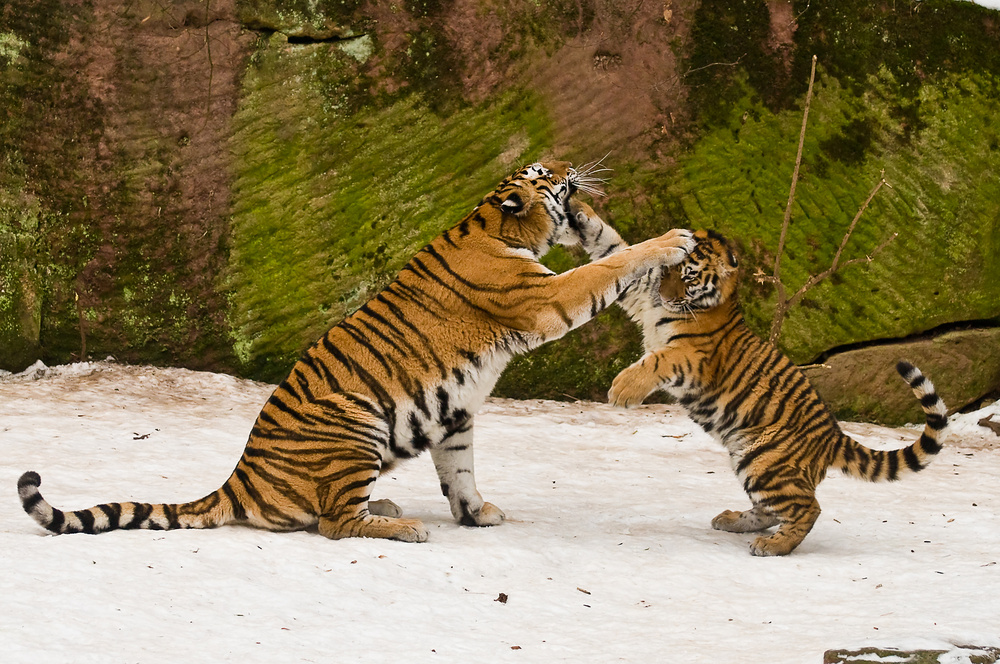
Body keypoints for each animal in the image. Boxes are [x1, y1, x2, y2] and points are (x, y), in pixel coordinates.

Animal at [19, 163, 700, 544]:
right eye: (549, 174)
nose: (574, 174)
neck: (494, 224)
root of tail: (237, 481)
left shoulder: (456, 414)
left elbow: (459, 470)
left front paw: (476, 513)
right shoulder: (547, 299)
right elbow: (610, 265)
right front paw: (672, 238)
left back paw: (388, 505)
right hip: (355, 421)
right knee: (333, 523)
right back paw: (401, 525)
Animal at [564, 211, 944, 556]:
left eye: (689, 276)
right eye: (668, 269)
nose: (666, 296)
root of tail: (833, 435)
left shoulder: (693, 357)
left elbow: (654, 362)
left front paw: (622, 390)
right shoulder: (640, 291)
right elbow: (614, 247)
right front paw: (581, 214)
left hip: (765, 459)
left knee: (807, 508)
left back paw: (773, 546)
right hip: (752, 459)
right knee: (772, 509)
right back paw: (733, 520)